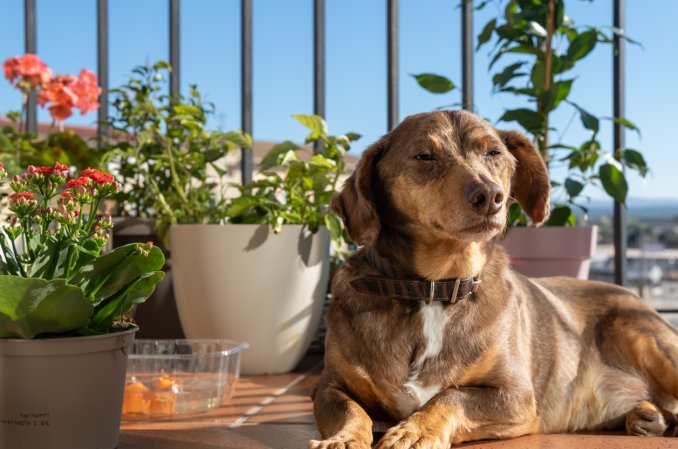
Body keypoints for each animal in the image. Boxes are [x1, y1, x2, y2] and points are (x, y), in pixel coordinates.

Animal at [310, 109, 678, 448]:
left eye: (493, 153)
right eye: (424, 156)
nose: (490, 195)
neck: (435, 288)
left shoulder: (515, 395)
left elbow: (451, 396)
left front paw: (414, 431)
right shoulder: (329, 386)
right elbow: (349, 409)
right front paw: (344, 438)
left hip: (647, 336)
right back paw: (649, 417)